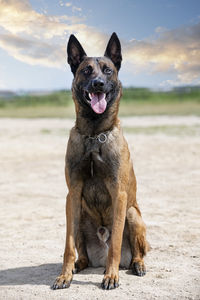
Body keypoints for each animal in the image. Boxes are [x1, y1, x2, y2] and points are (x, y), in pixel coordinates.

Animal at [52, 31, 148, 290]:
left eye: (107, 70)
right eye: (86, 70)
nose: (98, 84)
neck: (95, 135)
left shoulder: (119, 194)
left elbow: (115, 243)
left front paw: (111, 276)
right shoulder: (72, 194)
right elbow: (67, 246)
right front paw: (64, 275)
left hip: (132, 214)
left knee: (135, 252)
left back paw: (135, 265)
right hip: (79, 217)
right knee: (81, 254)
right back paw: (78, 266)